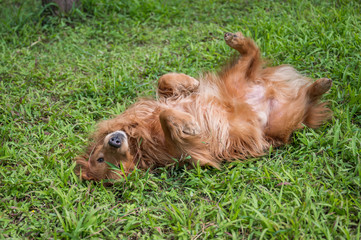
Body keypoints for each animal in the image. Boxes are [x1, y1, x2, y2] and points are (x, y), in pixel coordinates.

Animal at [74, 32, 330, 182]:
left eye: (99, 159)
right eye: (105, 162)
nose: (115, 141)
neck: (140, 144)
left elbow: (164, 83)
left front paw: (189, 83)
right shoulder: (192, 151)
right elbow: (168, 118)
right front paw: (187, 123)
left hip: (235, 79)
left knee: (252, 57)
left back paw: (238, 41)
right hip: (283, 123)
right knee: (306, 101)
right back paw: (318, 88)